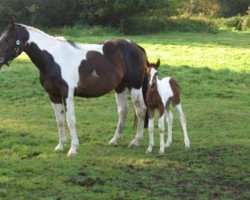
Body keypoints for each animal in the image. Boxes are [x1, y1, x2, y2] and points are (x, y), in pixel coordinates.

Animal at [0, 21, 148, 156]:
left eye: (6, 39)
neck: (52, 59)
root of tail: (137, 47)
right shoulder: (53, 96)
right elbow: (59, 121)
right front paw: (60, 146)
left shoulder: (67, 94)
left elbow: (70, 120)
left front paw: (73, 149)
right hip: (120, 87)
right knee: (123, 111)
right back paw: (115, 140)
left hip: (135, 86)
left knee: (141, 110)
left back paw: (135, 141)